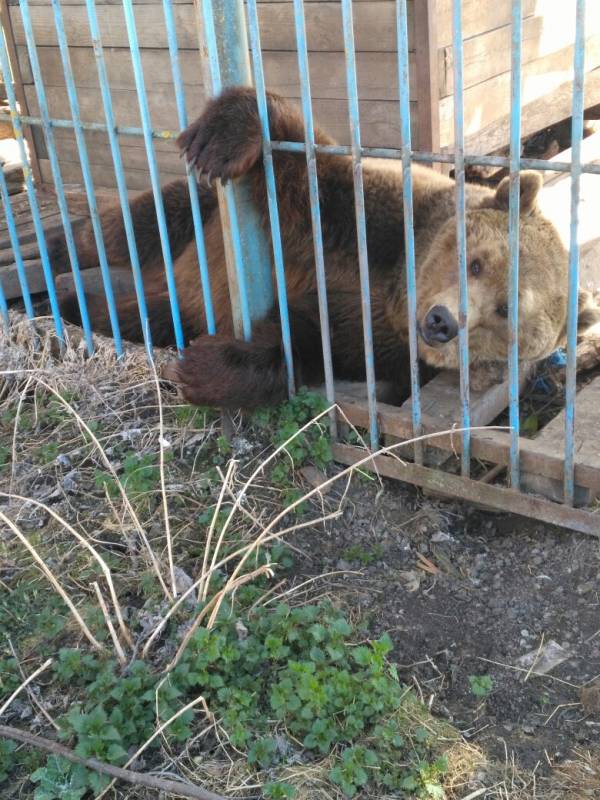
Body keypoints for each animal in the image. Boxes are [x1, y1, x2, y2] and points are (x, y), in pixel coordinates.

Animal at [52, 89, 600, 406]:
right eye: (477, 262)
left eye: (506, 312)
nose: (443, 322)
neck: (396, 292)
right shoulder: (379, 226)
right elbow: (312, 181)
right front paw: (229, 131)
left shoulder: (382, 341)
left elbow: (308, 343)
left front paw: (206, 367)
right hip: (199, 216)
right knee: (138, 223)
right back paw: (59, 254)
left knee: (156, 310)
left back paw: (86, 303)